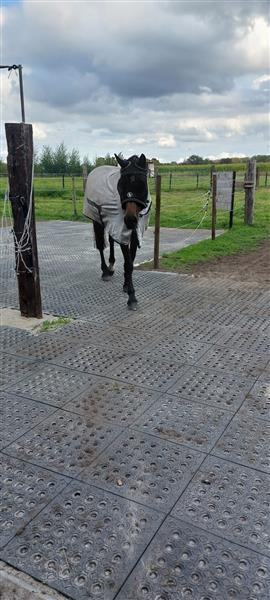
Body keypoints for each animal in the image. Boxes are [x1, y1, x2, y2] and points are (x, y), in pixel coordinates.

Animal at [83, 152, 151, 312]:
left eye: (142, 184)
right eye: (121, 185)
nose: (130, 220)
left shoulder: (133, 232)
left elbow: (130, 261)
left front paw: (126, 285)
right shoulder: (123, 229)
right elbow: (128, 263)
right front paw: (132, 298)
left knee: (111, 240)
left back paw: (111, 265)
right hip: (97, 220)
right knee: (101, 246)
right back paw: (105, 271)